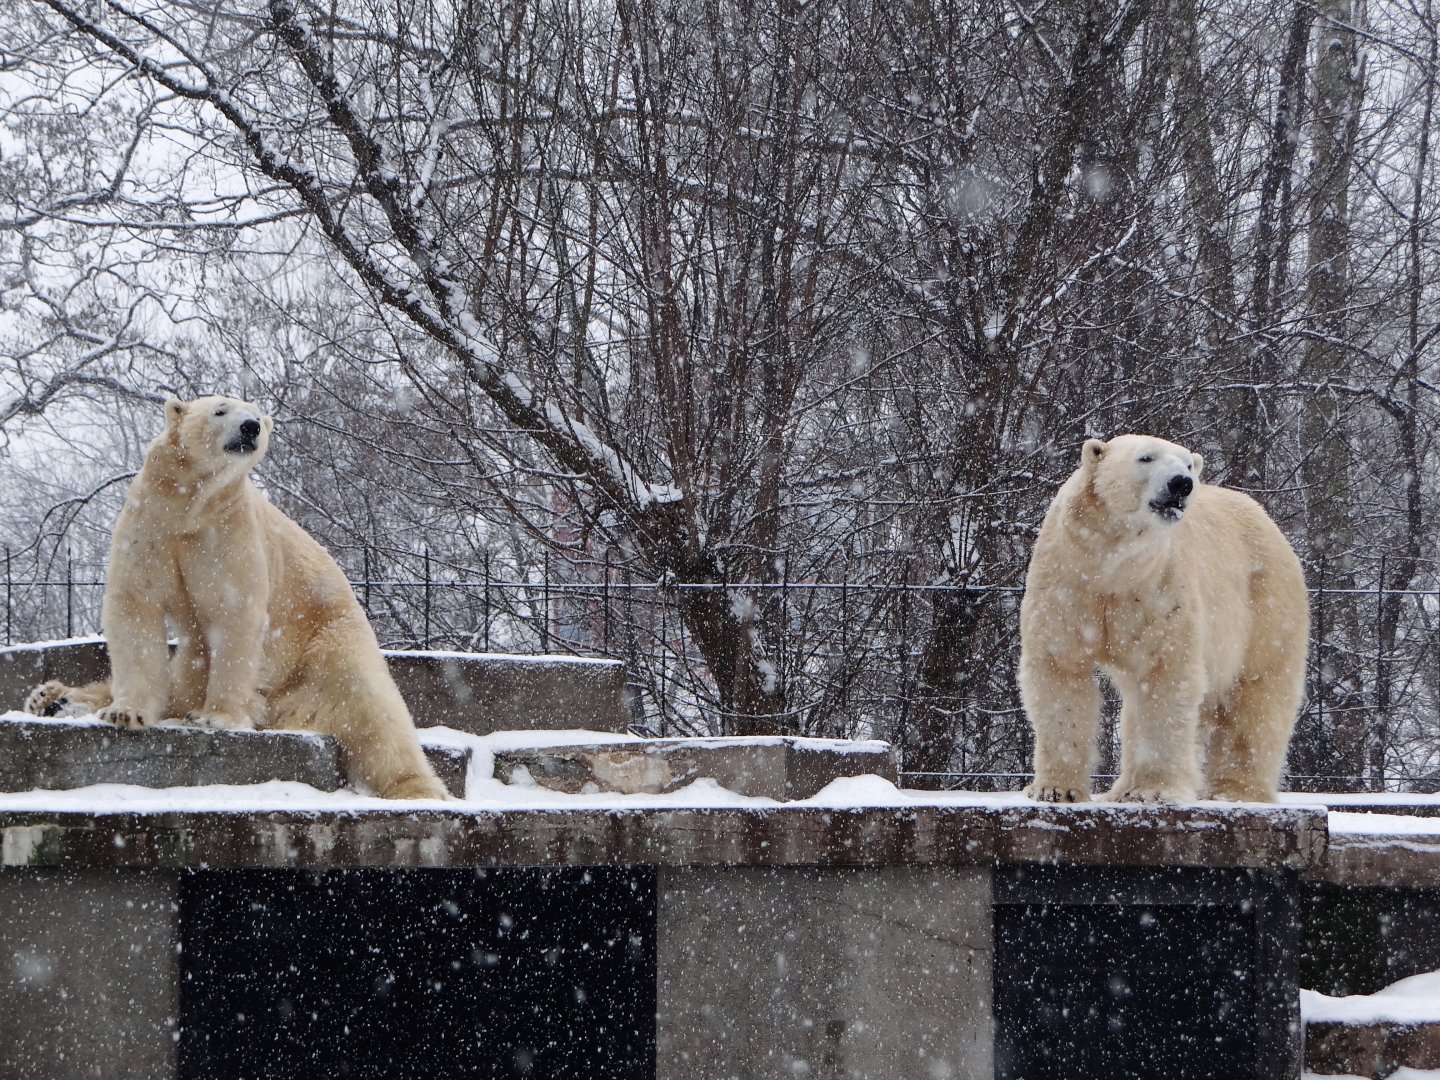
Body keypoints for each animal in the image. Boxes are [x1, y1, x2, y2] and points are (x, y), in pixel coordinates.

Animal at [24, 395, 449, 800]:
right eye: (220, 410)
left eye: (258, 414)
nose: (251, 427)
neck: (190, 502)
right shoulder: (151, 523)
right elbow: (137, 605)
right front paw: (125, 713)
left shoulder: (230, 531)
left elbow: (233, 614)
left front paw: (216, 717)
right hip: (203, 658)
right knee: (180, 682)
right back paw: (52, 697)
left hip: (329, 638)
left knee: (370, 706)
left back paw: (417, 789)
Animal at [1018, 433, 1309, 803]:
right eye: (1146, 457)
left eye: (1187, 463)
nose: (1181, 483)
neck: (1111, 564)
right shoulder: (1066, 585)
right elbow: (1060, 670)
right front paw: (1055, 789)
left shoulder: (1160, 586)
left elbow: (1163, 677)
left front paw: (1152, 790)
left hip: (1266, 603)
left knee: (1257, 691)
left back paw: (1235, 791)